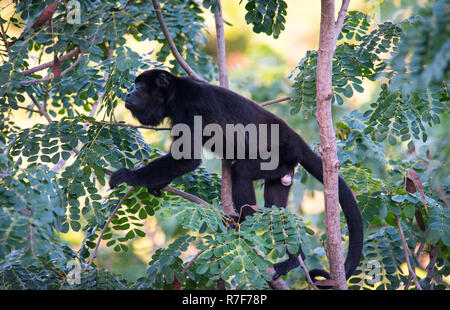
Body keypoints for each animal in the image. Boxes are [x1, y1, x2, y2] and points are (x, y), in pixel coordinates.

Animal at [110, 69, 366, 282]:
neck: (174, 94)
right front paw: (157, 183)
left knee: (240, 171)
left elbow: (187, 159)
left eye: (139, 87)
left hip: (278, 155)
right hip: (283, 170)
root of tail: (296, 140)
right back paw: (293, 260)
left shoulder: (188, 109)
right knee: (276, 210)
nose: (128, 92)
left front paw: (129, 176)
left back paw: (244, 221)